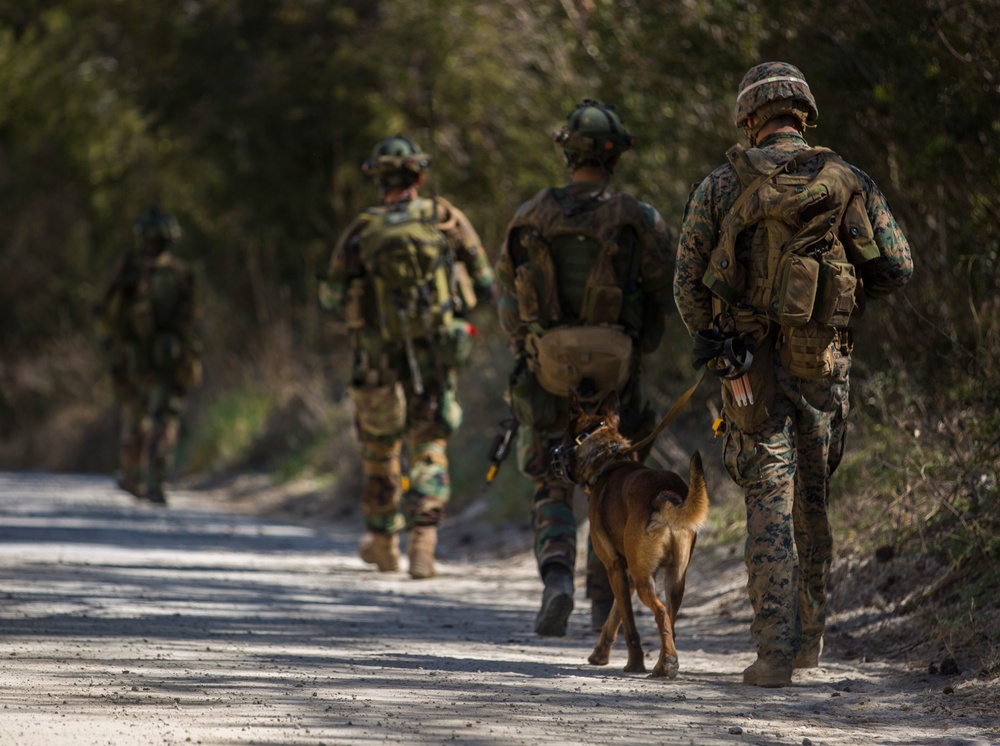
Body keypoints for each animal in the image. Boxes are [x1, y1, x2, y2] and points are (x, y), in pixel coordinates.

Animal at [564, 392, 712, 676]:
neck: (608, 460)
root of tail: (665, 493)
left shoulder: (614, 567)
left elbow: (627, 622)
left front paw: (634, 663)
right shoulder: (629, 573)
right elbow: (614, 616)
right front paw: (600, 654)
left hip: (646, 580)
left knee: (661, 612)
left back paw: (666, 663)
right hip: (674, 578)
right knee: (671, 620)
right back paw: (663, 664)